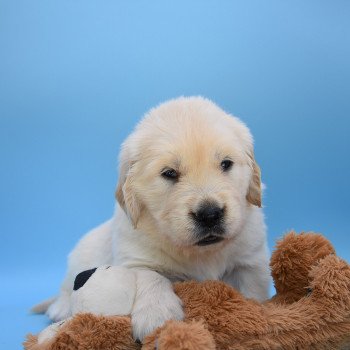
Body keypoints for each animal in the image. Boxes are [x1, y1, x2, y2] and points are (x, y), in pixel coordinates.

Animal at [41, 96, 270, 342]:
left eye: (226, 164)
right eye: (169, 173)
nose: (209, 214)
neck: (199, 252)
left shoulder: (250, 260)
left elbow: (253, 291)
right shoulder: (135, 258)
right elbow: (151, 277)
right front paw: (158, 316)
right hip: (82, 253)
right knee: (68, 285)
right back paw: (60, 307)